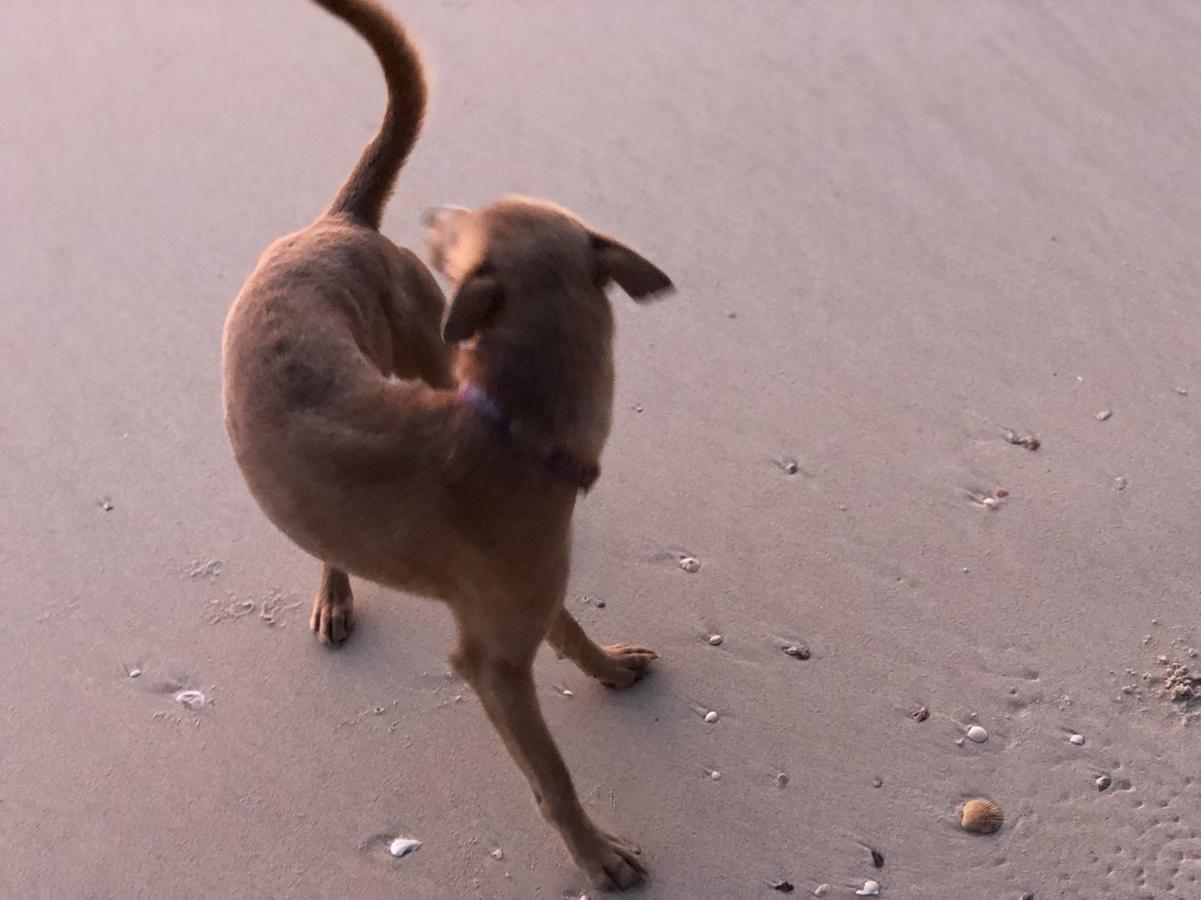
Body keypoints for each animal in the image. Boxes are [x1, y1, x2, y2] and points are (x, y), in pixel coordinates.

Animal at [223, 0, 677, 889]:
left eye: (464, 224)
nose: (433, 212)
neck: (511, 430)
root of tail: (338, 221)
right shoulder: (490, 665)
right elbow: (553, 776)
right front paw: (596, 856)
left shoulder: (520, 604)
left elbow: (570, 631)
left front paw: (609, 668)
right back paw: (335, 594)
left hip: (421, 346)